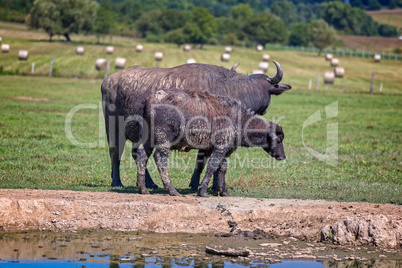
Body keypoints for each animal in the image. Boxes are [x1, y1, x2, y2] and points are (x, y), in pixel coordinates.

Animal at [135, 89, 286, 196]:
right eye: (279, 140)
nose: (282, 157)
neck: (240, 120)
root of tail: (150, 100)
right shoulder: (221, 146)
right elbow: (212, 166)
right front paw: (202, 191)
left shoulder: (222, 148)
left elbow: (222, 168)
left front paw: (223, 191)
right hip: (163, 139)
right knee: (160, 159)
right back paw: (172, 190)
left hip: (148, 138)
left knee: (142, 156)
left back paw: (143, 189)